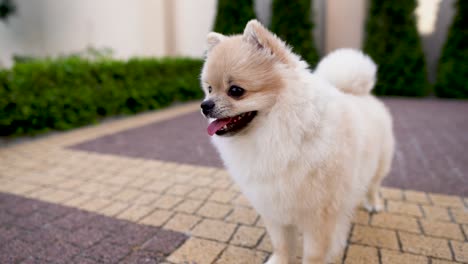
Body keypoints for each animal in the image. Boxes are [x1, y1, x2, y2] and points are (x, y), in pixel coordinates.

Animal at [199, 20, 394, 264]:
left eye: (235, 91)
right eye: (209, 89)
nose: (205, 105)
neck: (280, 135)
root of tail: (357, 93)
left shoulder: (319, 216)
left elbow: (314, 253)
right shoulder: (273, 205)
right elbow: (282, 244)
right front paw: (280, 260)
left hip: (379, 163)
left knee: (374, 185)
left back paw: (373, 204)